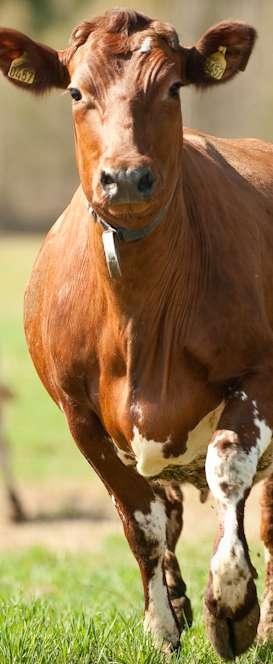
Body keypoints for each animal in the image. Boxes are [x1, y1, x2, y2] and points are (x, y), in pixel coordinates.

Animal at [0, 9, 272, 660]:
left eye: (173, 87)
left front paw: (233, 606)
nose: (125, 179)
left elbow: (228, 469)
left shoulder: (261, 378)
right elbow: (139, 519)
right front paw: (162, 625)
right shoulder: (79, 417)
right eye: (76, 92)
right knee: (168, 511)